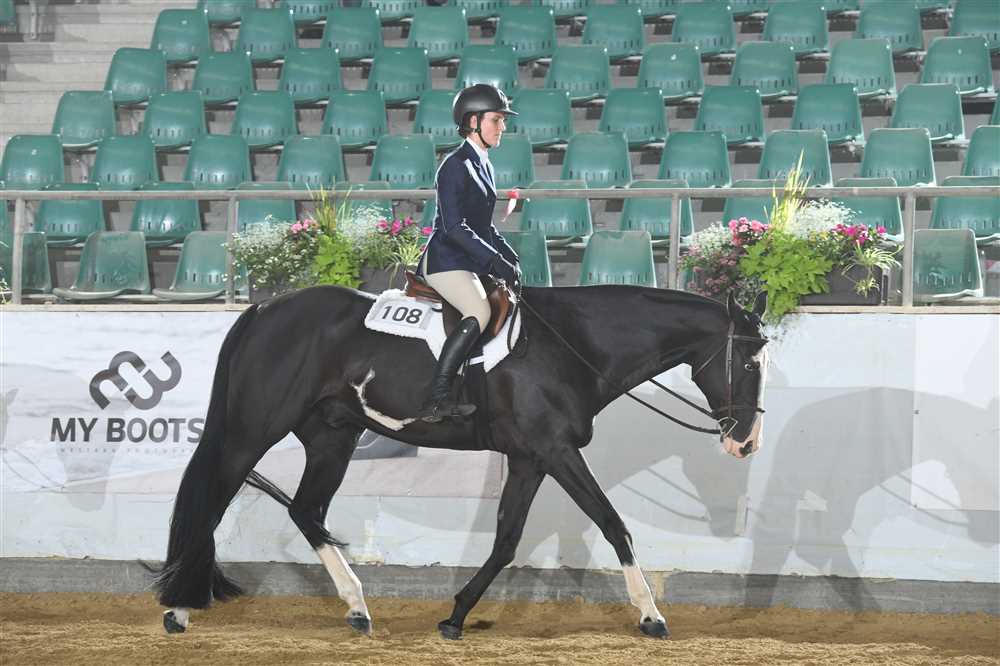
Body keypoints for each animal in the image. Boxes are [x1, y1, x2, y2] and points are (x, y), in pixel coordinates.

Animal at [153, 284, 769, 640]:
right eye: (749, 360)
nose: (745, 443)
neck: (572, 343)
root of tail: (264, 308)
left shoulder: (529, 459)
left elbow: (506, 541)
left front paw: (455, 616)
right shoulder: (556, 450)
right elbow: (614, 523)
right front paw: (651, 617)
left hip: (332, 436)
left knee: (306, 512)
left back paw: (357, 608)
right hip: (252, 430)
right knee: (213, 502)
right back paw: (179, 610)